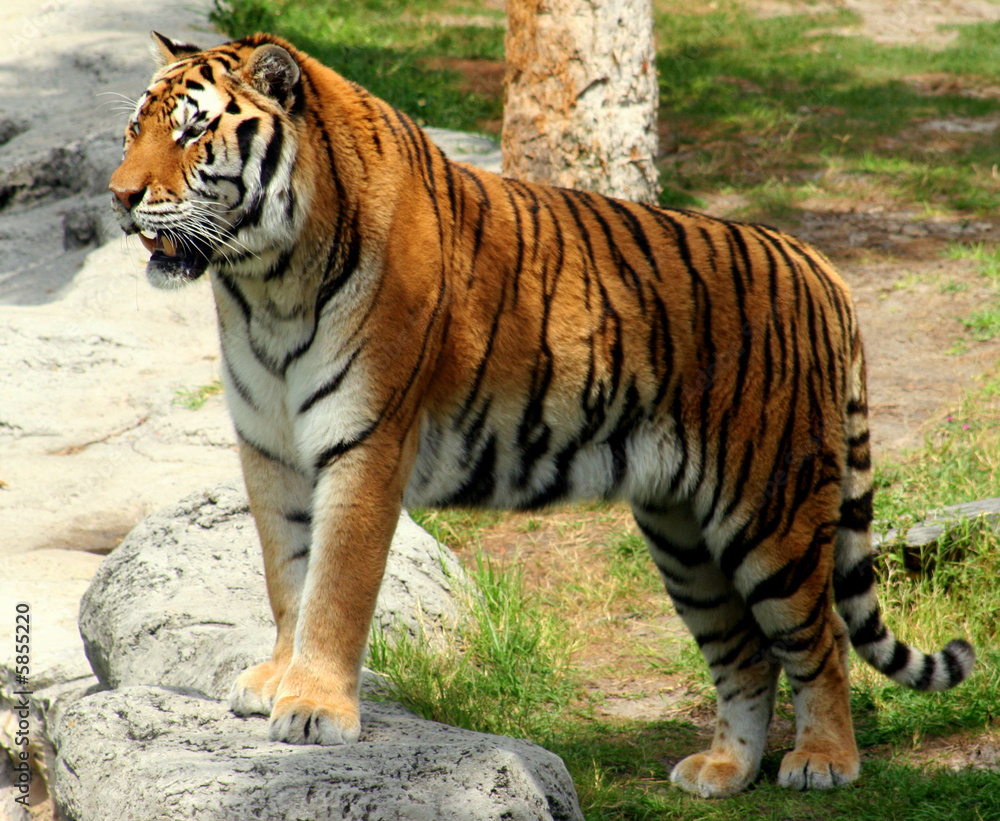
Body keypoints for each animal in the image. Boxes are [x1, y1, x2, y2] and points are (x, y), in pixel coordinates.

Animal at [109, 31, 974, 797]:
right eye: (134, 129)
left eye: (192, 131)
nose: (119, 196)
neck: (265, 284)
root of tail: (820, 264)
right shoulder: (271, 448)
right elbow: (287, 574)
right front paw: (277, 678)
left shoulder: (366, 444)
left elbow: (336, 586)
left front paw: (316, 707)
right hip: (683, 534)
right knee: (746, 654)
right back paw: (725, 770)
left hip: (771, 512)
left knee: (820, 638)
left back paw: (825, 760)